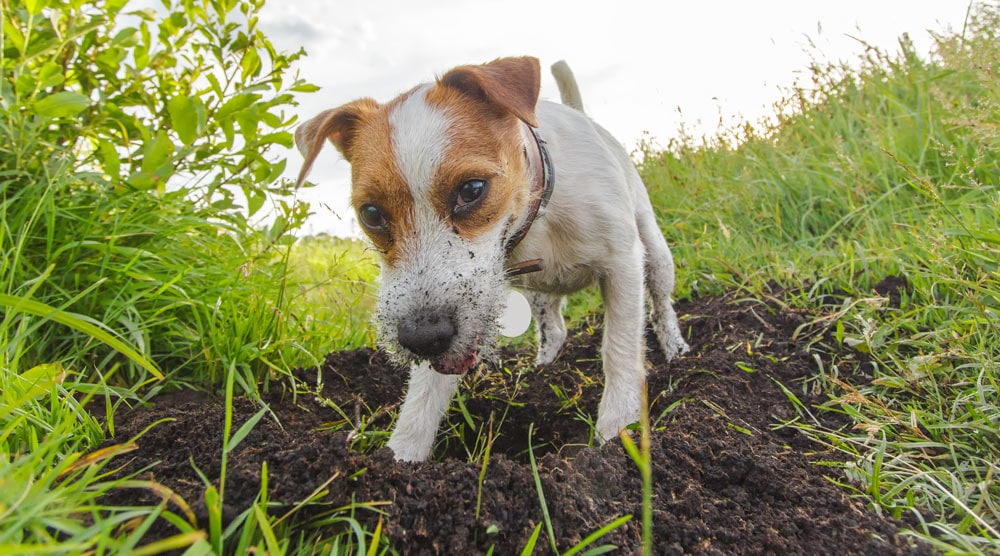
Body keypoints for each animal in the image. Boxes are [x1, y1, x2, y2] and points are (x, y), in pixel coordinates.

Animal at [296, 56, 688, 460]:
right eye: (371, 214)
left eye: (472, 190)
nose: (421, 337)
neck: (536, 211)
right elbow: (424, 393)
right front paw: (402, 454)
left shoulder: (622, 263)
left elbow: (620, 347)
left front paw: (618, 427)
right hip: (538, 295)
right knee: (554, 329)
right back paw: (543, 369)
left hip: (656, 254)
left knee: (660, 305)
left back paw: (676, 350)